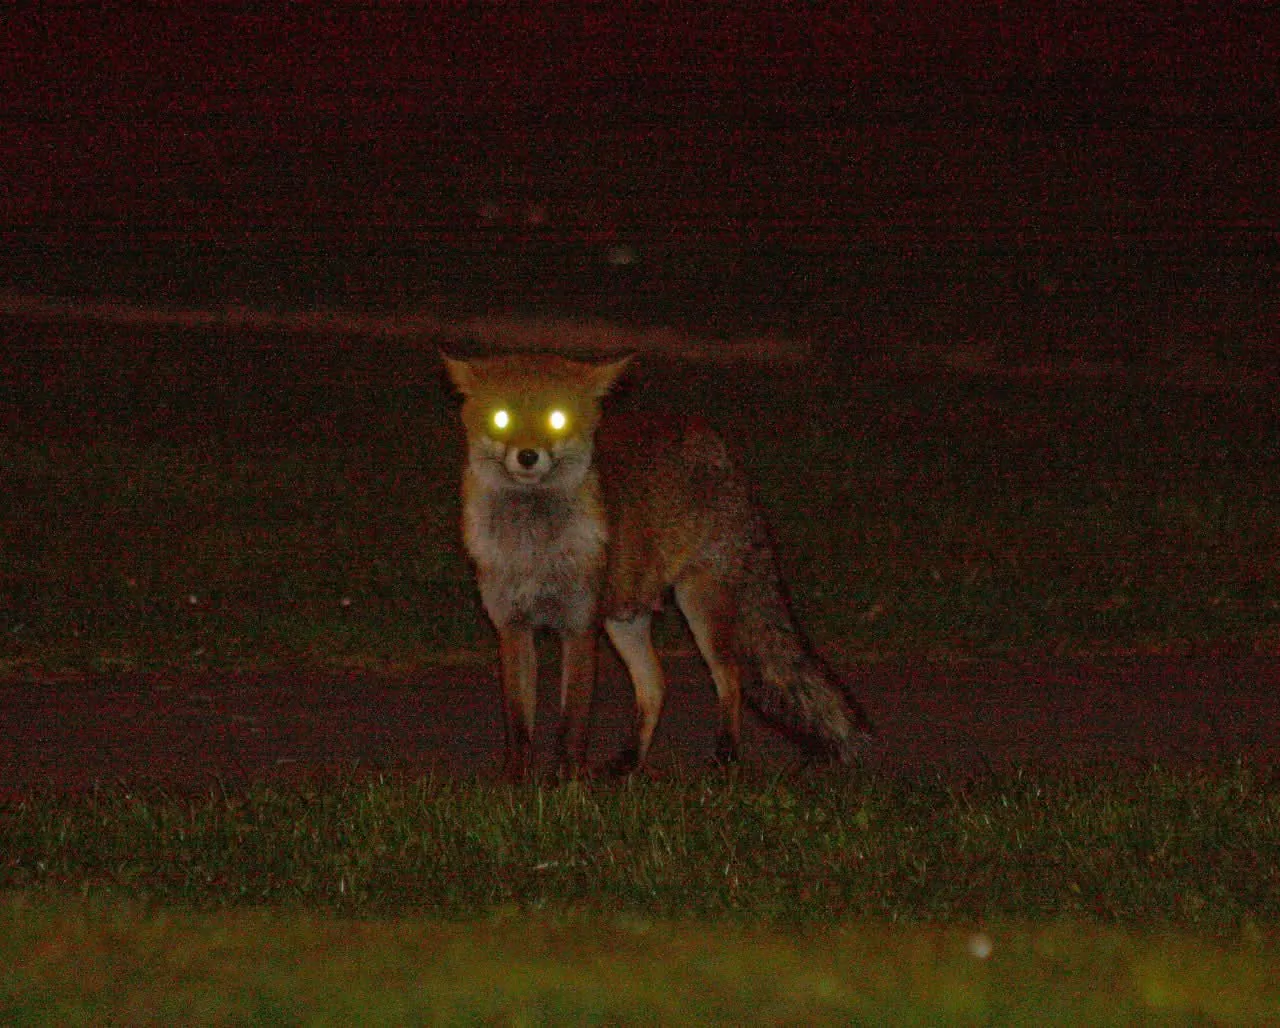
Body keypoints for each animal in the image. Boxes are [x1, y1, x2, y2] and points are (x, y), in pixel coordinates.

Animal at [443, 351, 875, 779]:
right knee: (656, 686)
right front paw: (516, 784)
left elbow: (572, 725)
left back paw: (725, 756)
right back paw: (630, 763)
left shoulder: (579, 626)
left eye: (557, 419)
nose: (528, 456)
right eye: (501, 418)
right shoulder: (512, 625)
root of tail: (715, 443)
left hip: (699, 604)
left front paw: (567, 784)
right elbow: (519, 724)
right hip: (625, 618)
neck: (534, 550)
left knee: (730, 679)